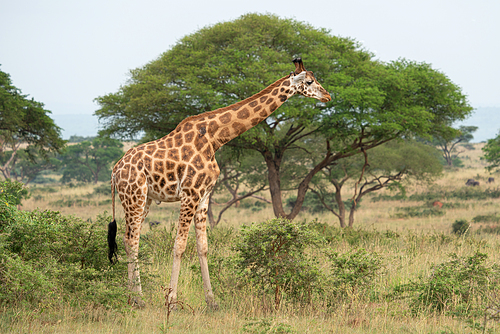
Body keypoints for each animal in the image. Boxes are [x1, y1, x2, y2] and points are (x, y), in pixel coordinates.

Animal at [107, 57, 330, 308]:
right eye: (309, 81)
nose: (328, 96)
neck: (215, 138)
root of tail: (115, 171)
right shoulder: (190, 193)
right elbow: (179, 245)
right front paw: (172, 301)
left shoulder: (204, 196)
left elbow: (203, 247)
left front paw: (212, 301)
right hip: (134, 196)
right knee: (131, 240)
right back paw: (138, 298)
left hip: (144, 199)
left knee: (129, 240)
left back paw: (133, 298)